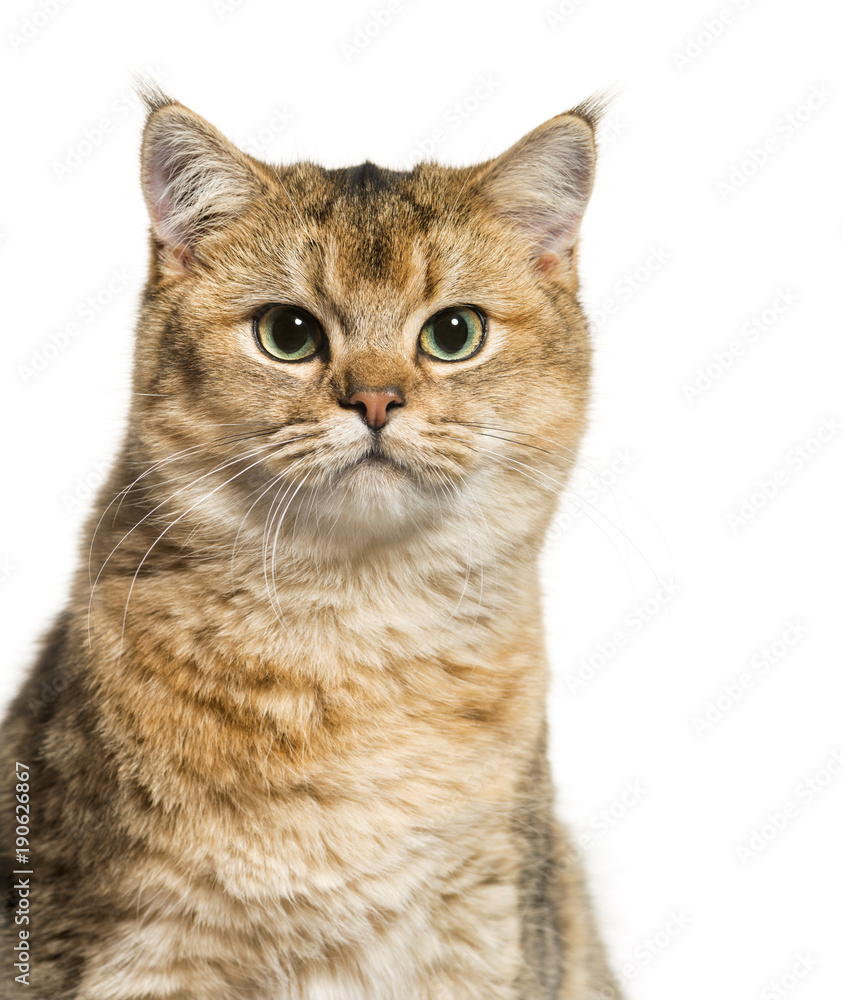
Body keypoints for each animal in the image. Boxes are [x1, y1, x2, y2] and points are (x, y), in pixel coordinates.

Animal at [0, 88, 620, 1000]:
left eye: (454, 333)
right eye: (288, 333)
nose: (376, 399)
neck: (350, 637)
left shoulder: (496, 927)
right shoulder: (130, 951)